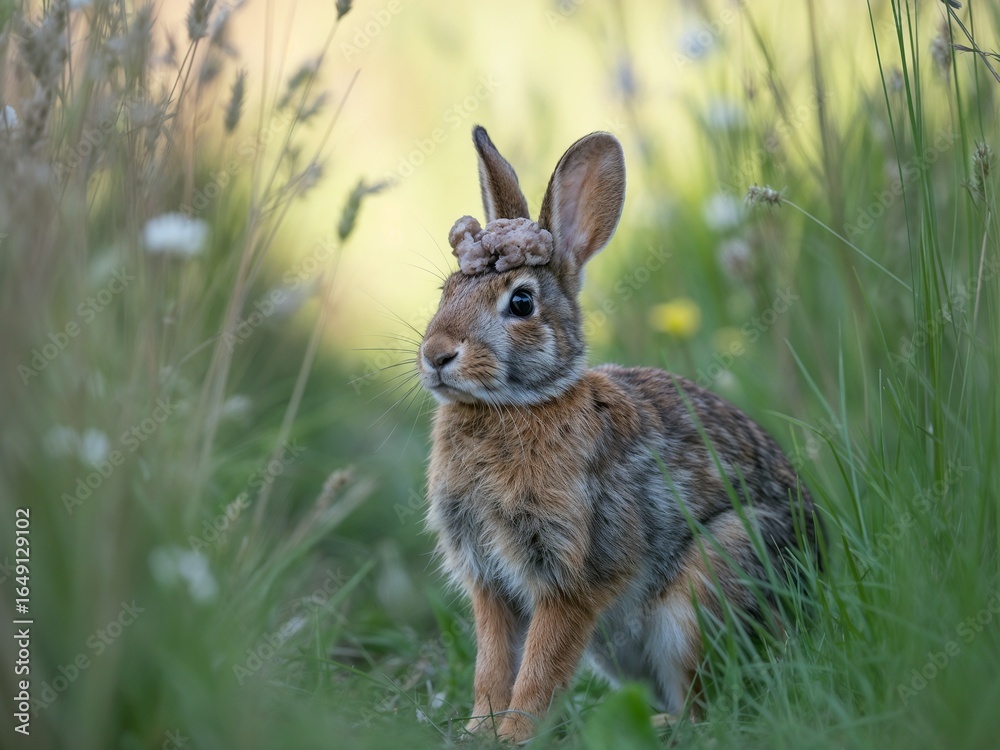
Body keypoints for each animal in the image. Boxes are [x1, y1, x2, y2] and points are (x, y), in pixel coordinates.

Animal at [417, 125, 820, 743]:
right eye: (447, 290)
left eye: (521, 302)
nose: (436, 355)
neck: (515, 406)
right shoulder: (490, 583)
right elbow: (493, 664)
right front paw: (478, 731)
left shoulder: (575, 576)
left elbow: (542, 666)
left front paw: (515, 736)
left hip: (711, 582)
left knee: (709, 706)